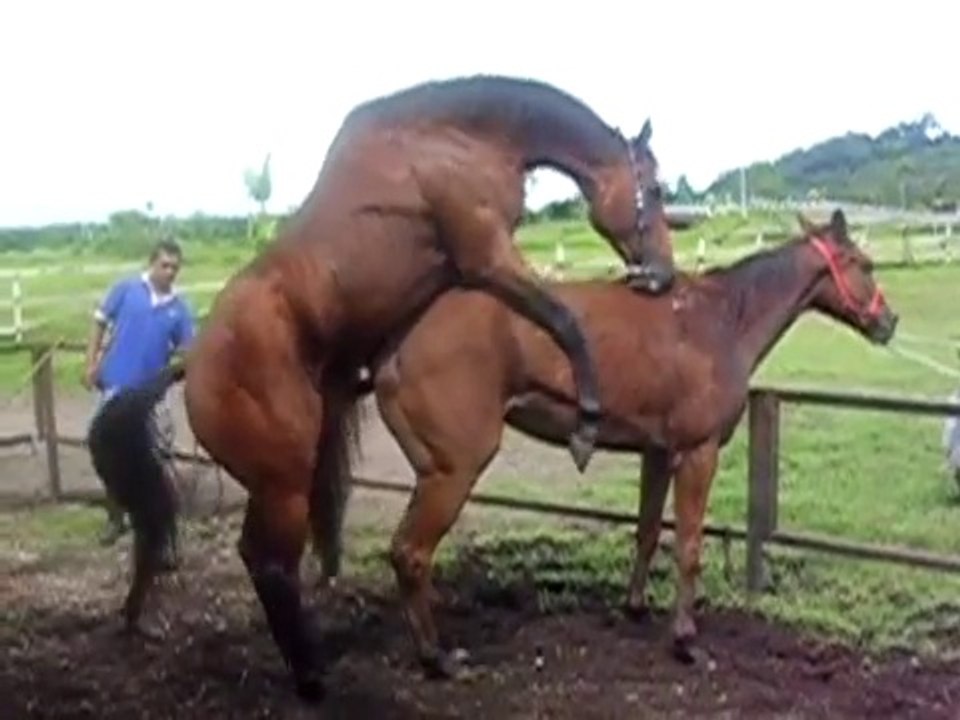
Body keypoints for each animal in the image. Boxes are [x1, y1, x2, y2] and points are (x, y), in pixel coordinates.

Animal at [88, 75, 675, 701]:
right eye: (655, 188)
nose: (662, 276)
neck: (455, 139)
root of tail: (190, 366)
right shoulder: (488, 258)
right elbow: (566, 323)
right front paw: (586, 423)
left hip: (286, 479)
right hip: (283, 482)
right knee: (269, 563)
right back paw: (314, 676)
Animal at [368, 207, 898, 675]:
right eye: (865, 264)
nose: (888, 322)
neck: (721, 318)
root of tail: (399, 341)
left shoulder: (658, 452)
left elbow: (647, 532)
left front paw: (637, 607)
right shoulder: (698, 452)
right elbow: (688, 547)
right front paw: (684, 640)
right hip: (454, 469)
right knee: (410, 552)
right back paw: (437, 657)